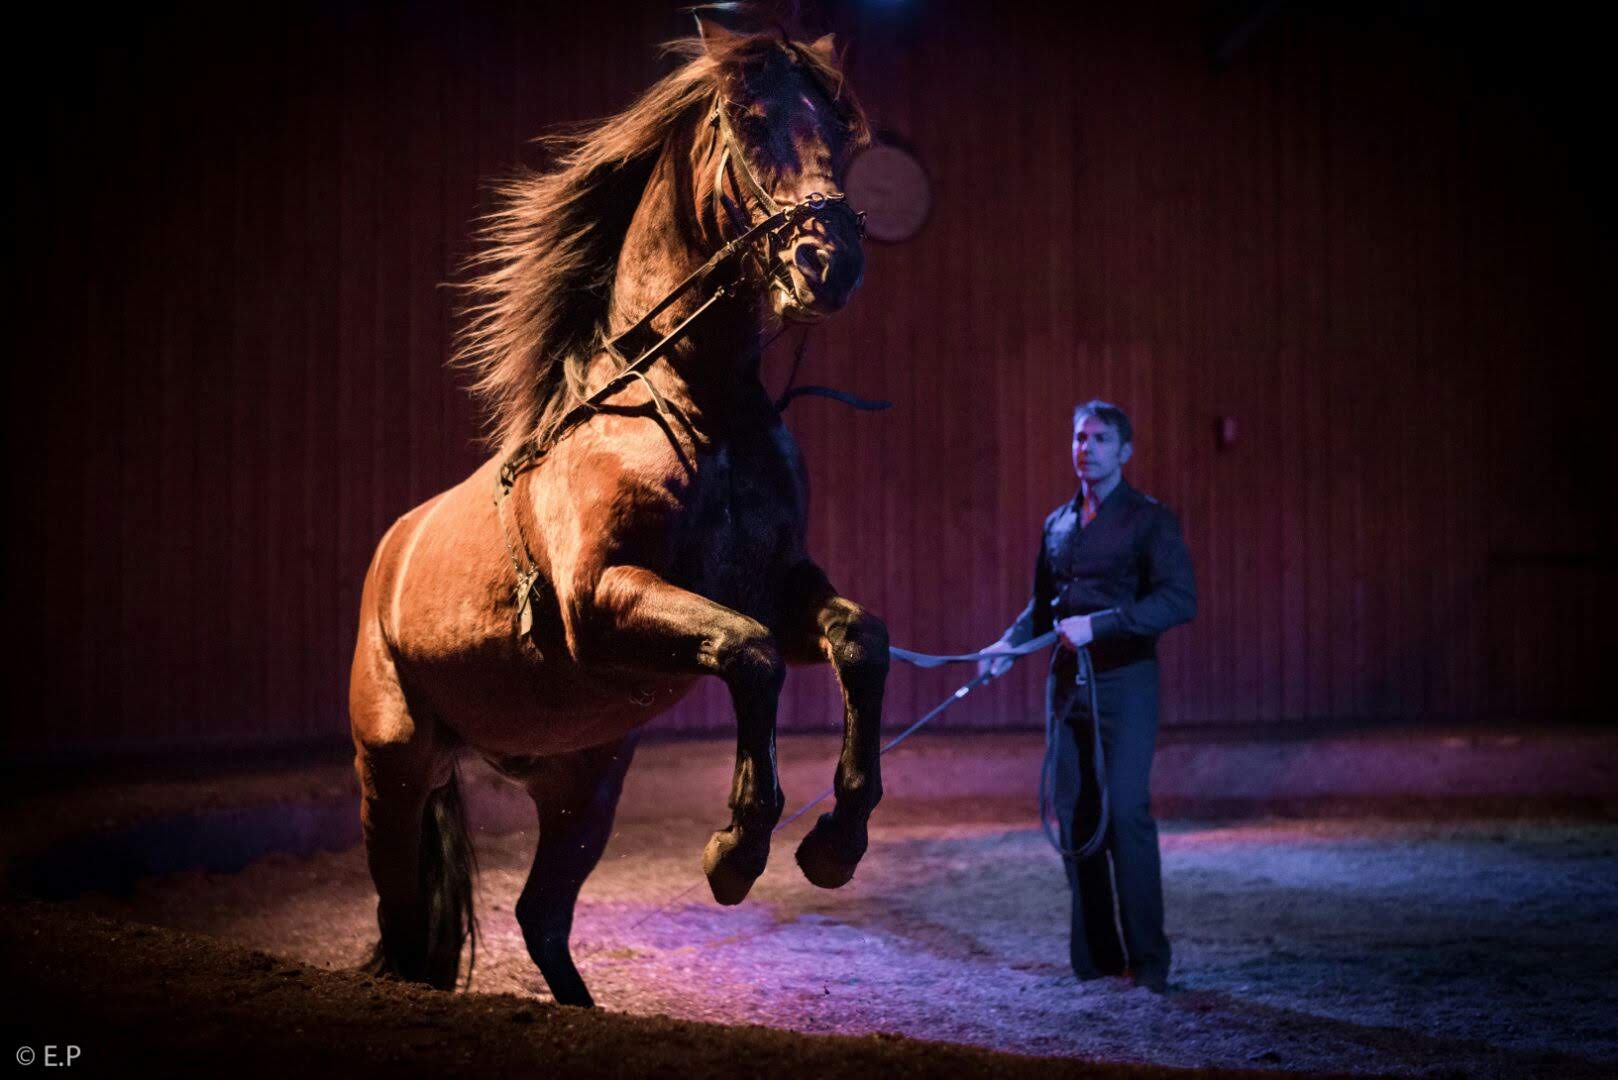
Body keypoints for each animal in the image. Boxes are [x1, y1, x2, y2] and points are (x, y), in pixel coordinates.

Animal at [348, 23, 886, 1008]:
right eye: (750, 122)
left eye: (839, 128)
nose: (828, 263)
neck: (693, 410)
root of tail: (391, 553)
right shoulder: (602, 601)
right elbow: (750, 654)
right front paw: (736, 848)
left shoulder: (778, 587)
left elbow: (859, 637)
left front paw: (836, 840)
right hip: (394, 767)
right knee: (403, 920)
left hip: (582, 787)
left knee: (540, 917)